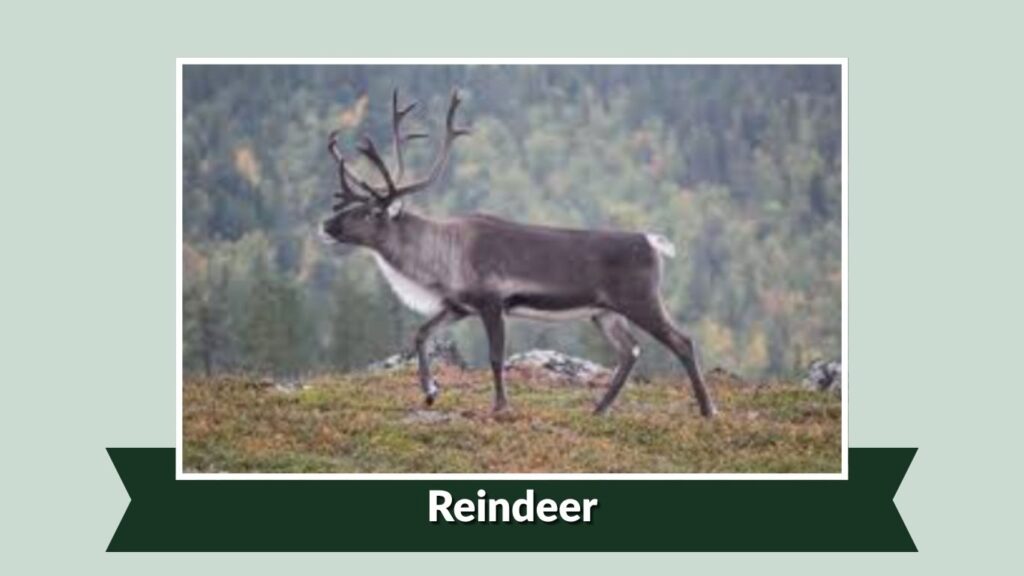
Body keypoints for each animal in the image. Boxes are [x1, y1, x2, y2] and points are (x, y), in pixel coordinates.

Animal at [320, 89, 716, 418]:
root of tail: (652, 241)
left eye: (369, 212)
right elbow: (420, 334)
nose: (326, 225)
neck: (440, 259)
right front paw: (431, 391)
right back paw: (599, 409)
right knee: (630, 351)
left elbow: (496, 357)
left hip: (641, 299)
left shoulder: (492, 301)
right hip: (604, 312)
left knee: (682, 341)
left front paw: (500, 406)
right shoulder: (458, 306)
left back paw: (708, 409)